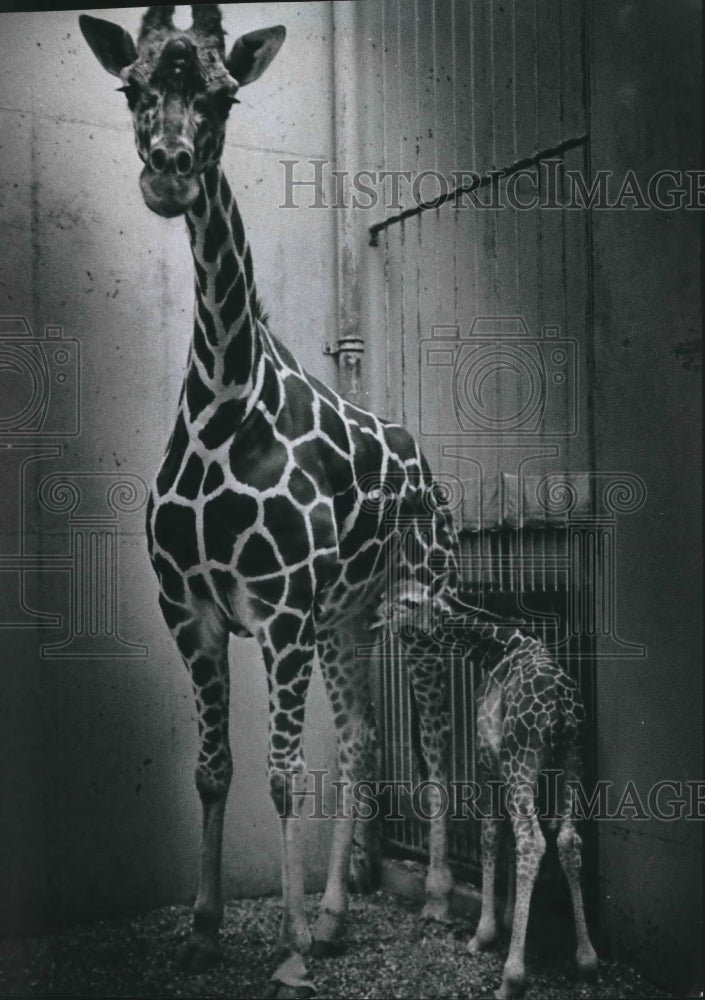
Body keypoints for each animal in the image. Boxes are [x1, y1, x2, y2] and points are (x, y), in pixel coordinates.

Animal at [79, 6, 456, 995]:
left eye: (225, 95)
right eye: (131, 87)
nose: (168, 171)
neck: (225, 398)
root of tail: (428, 465)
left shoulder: (280, 609)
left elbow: (285, 772)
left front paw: (282, 950)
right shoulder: (192, 609)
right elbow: (214, 769)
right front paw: (208, 929)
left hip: (420, 604)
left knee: (433, 737)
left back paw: (440, 903)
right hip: (346, 617)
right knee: (361, 739)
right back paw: (333, 917)